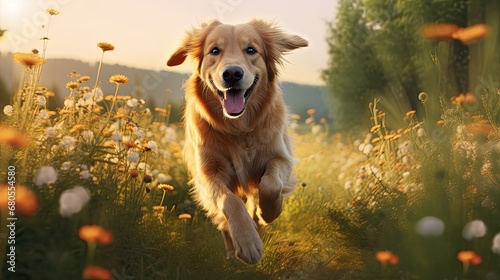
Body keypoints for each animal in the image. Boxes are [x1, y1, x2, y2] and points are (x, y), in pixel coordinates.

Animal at [168, 20, 306, 264]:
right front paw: (247, 241)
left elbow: (271, 185)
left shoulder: (281, 157)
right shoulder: (208, 173)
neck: (238, 129)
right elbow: (229, 201)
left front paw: (267, 212)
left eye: (251, 49)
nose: (232, 73)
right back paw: (234, 252)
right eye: (215, 51)